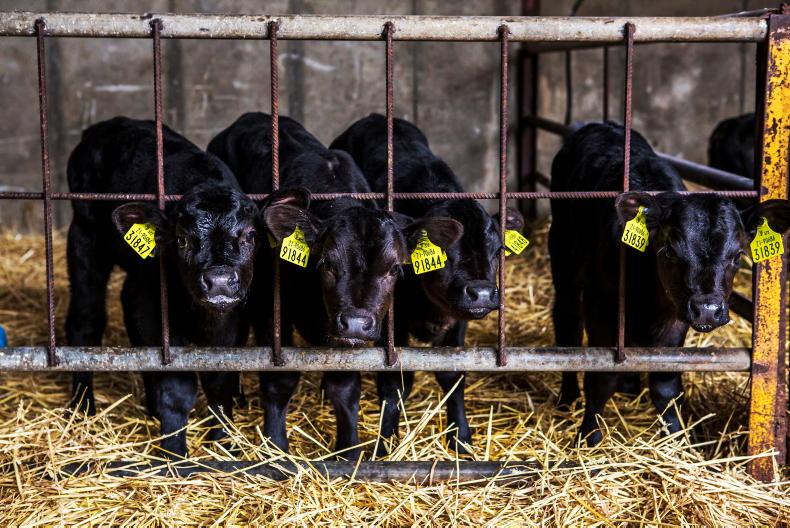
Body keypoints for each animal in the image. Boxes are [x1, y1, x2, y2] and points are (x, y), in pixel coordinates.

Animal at [330, 114, 525, 455]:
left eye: (498, 249)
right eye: (442, 251)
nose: (482, 293)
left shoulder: (458, 323)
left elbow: (452, 373)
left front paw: (461, 436)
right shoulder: (387, 320)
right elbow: (394, 382)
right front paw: (385, 442)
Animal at [549, 121, 790, 446]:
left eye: (737, 255)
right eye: (669, 251)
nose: (707, 309)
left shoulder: (676, 318)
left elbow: (666, 383)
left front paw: (676, 438)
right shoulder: (601, 307)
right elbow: (601, 378)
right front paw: (589, 436)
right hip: (563, 256)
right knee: (567, 323)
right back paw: (567, 397)